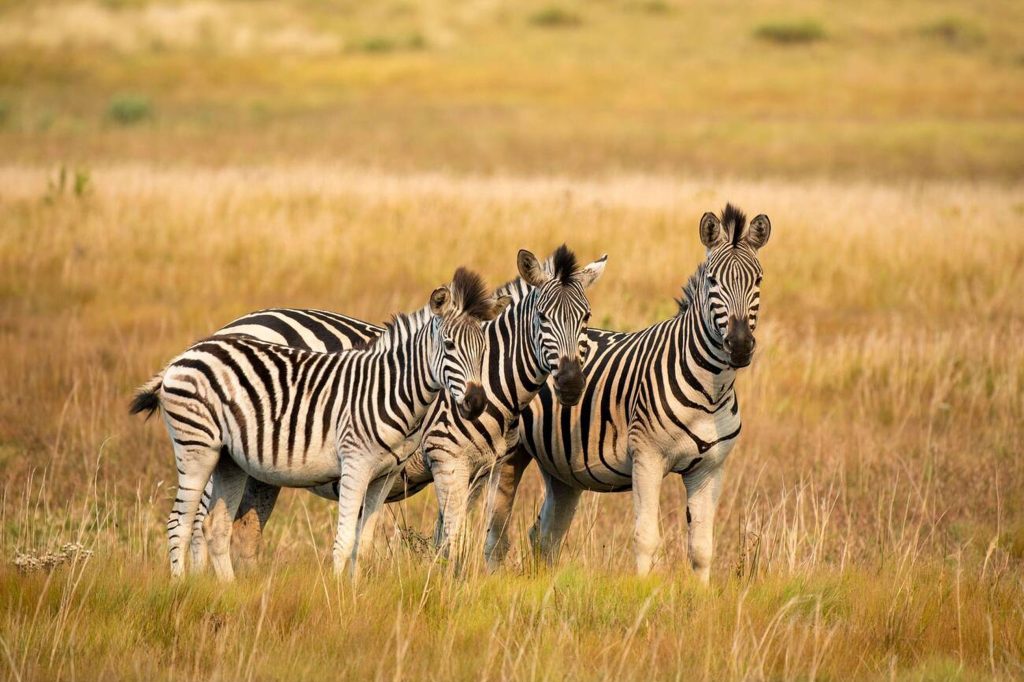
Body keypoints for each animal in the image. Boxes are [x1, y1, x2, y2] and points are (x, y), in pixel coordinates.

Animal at [130, 268, 508, 580]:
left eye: (484, 347)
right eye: (449, 345)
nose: (476, 403)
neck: (389, 388)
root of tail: (185, 355)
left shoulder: (384, 476)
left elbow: (363, 543)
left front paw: (355, 595)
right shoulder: (357, 464)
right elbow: (344, 540)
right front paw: (338, 600)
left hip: (230, 460)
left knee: (216, 526)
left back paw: (227, 592)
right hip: (197, 448)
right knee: (180, 523)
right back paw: (182, 589)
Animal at [191, 246, 607, 571]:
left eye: (585, 317)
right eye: (543, 318)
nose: (571, 384)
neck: (491, 377)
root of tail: (234, 325)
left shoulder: (481, 469)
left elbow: (455, 539)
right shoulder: (447, 458)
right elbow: (456, 542)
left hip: (261, 468)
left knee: (244, 533)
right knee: (198, 523)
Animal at [483, 204, 771, 582]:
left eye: (758, 280)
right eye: (712, 281)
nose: (739, 346)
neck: (711, 389)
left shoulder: (710, 469)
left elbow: (702, 548)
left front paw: (701, 595)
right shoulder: (646, 457)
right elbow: (646, 537)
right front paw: (644, 593)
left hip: (563, 471)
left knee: (544, 536)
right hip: (510, 455)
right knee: (496, 533)